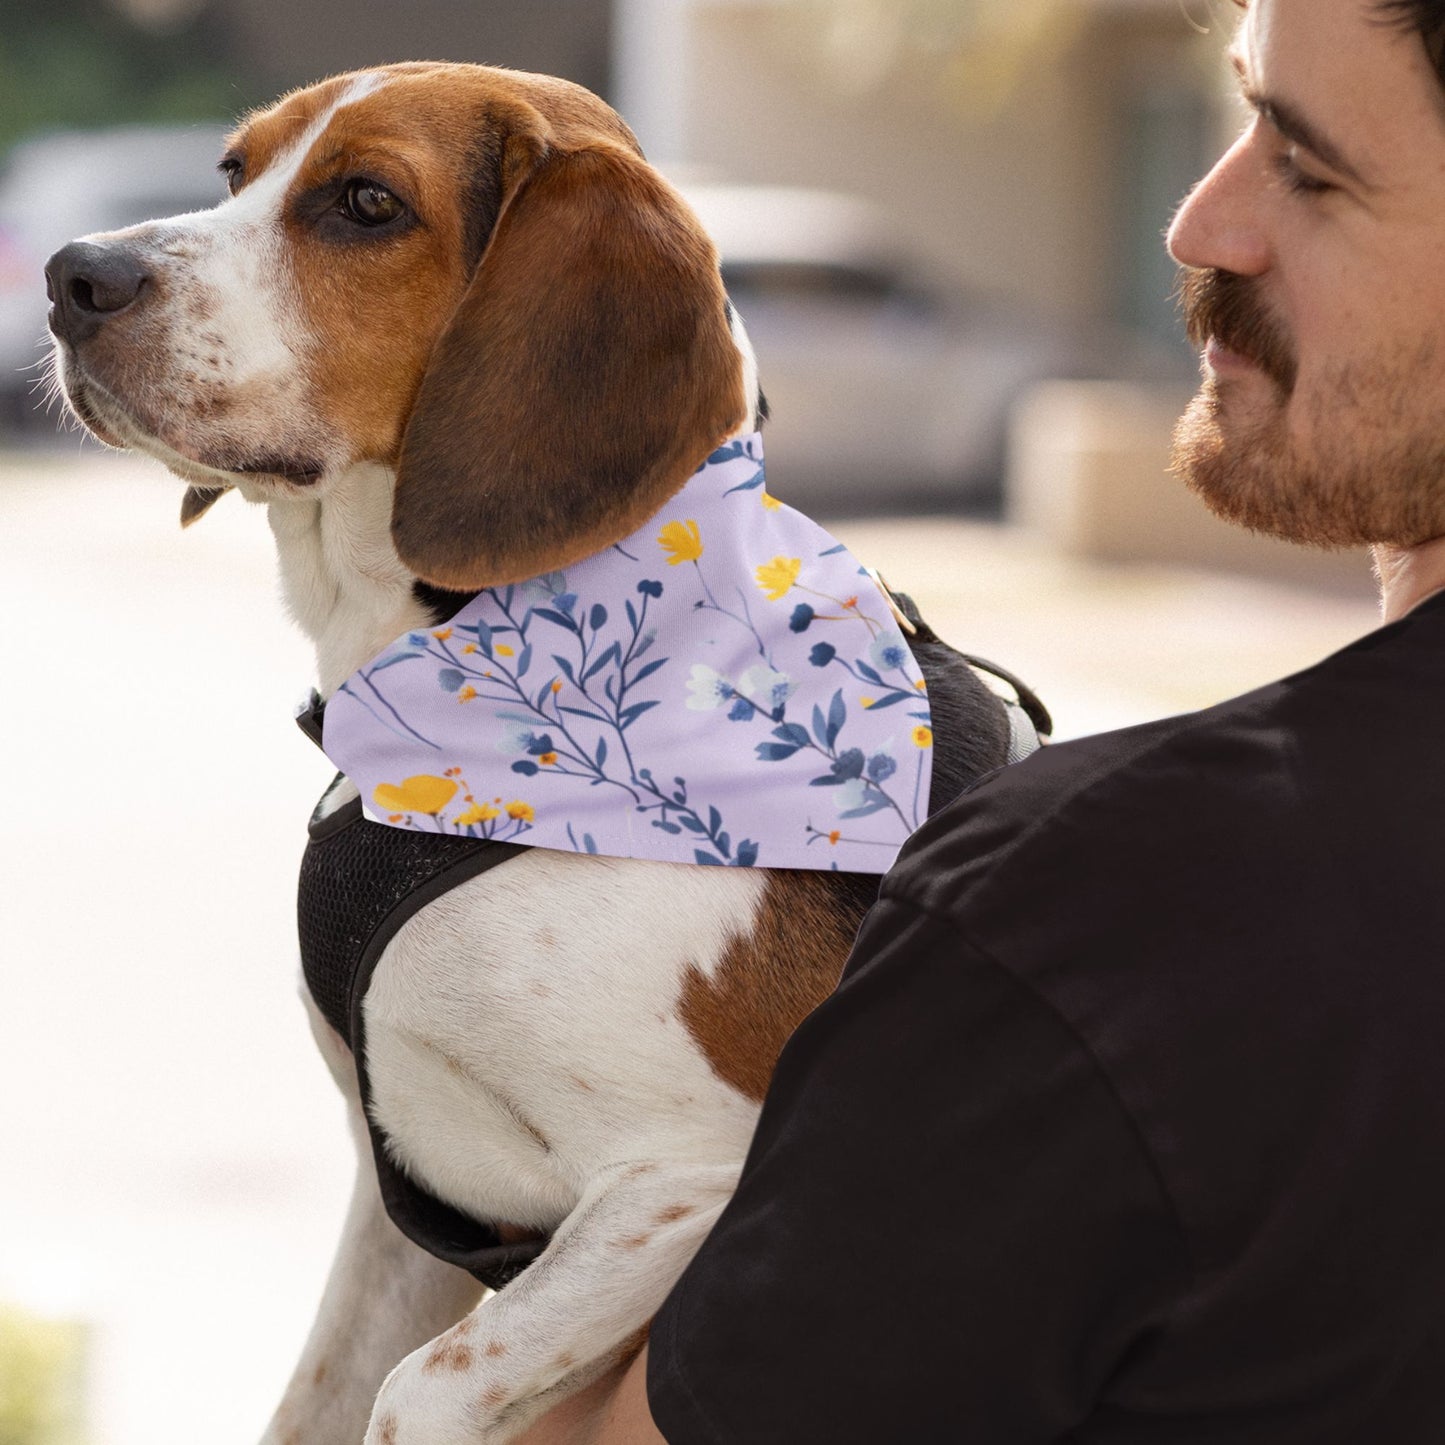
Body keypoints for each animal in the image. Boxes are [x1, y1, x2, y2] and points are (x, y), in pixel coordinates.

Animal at [48, 62, 1040, 1439]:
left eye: (366, 203)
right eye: (233, 171)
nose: (70, 275)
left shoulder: (683, 1182)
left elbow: (413, 1390)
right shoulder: (398, 1203)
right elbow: (317, 1398)